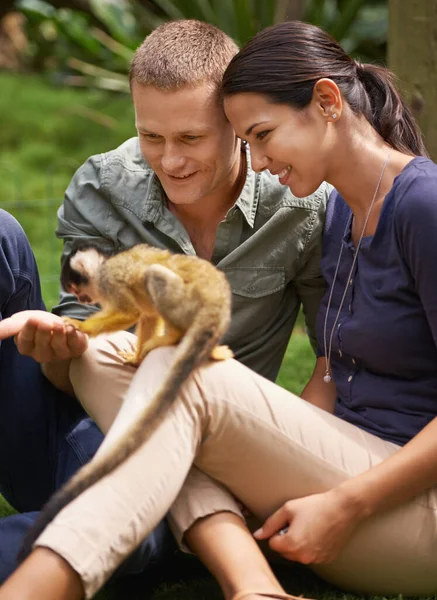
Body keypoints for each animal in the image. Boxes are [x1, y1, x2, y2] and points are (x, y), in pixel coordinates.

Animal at [20, 241, 232, 560]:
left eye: (78, 290)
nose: (84, 300)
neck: (104, 267)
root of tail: (215, 302)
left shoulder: (111, 281)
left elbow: (131, 311)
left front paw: (81, 327)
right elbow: (147, 316)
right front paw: (135, 358)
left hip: (185, 301)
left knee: (155, 276)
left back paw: (174, 337)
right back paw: (212, 349)